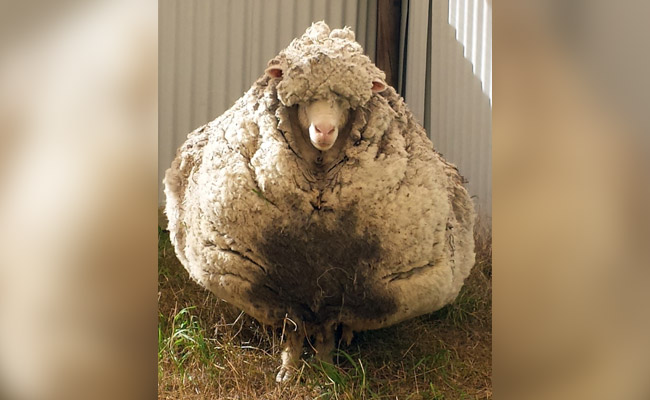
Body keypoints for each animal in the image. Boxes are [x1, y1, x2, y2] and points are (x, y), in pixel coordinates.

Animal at [164, 21, 476, 383]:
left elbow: (328, 335)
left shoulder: (340, 295)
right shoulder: (284, 290)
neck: (319, 181)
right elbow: (293, 332)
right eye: (304, 101)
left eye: (344, 102)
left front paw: (327, 372)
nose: (324, 130)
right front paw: (287, 374)